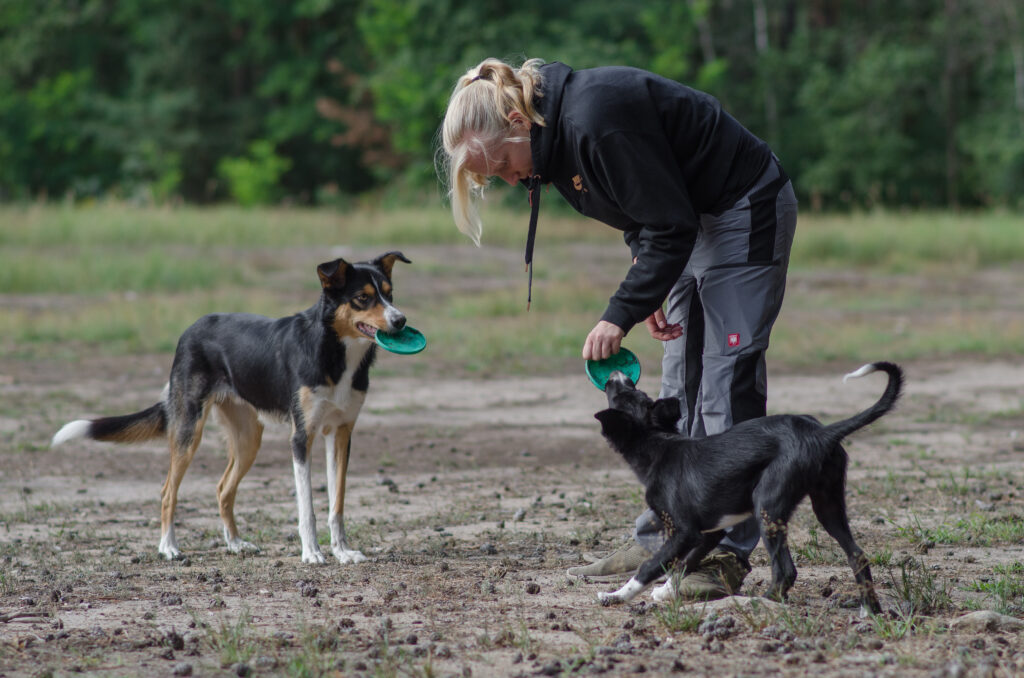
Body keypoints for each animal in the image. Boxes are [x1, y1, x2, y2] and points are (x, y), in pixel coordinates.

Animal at [52, 251, 411, 565]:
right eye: (362, 298)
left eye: (390, 294)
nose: (400, 320)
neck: (335, 351)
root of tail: (190, 329)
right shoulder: (301, 438)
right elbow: (306, 507)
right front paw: (312, 553)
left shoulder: (340, 433)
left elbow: (337, 504)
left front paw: (343, 552)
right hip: (189, 429)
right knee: (168, 491)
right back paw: (169, 547)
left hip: (248, 438)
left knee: (223, 489)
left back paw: (236, 543)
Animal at [593, 364, 905, 614]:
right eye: (635, 393)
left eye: (621, 397)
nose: (615, 374)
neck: (659, 442)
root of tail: (820, 432)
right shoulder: (710, 531)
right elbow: (684, 564)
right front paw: (666, 591)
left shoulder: (684, 532)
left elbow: (651, 565)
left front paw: (615, 596)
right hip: (828, 503)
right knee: (857, 555)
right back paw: (871, 610)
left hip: (767, 505)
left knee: (785, 571)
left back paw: (760, 604)